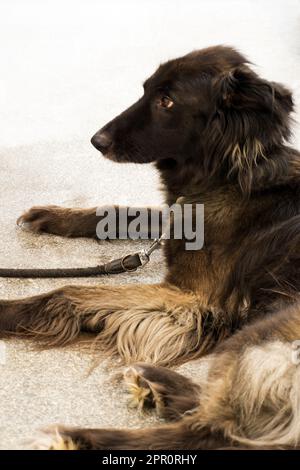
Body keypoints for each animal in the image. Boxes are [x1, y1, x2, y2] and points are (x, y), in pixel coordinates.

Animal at [2, 46, 300, 450]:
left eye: (166, 101)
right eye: (146, 90)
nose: (97, 140)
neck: (230, 175)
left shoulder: (191, 299)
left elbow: (66, 292)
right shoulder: (179, 216)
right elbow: (121, 212)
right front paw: (53, 216)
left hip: (265, 328)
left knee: (212, 432)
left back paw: (77, 435)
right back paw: (158, 388)